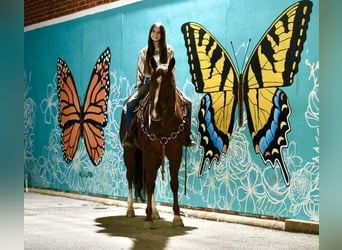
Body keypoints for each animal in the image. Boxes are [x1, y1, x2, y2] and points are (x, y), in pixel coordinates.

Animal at [119, 57, 186, 229]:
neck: (164, 123)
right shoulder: (149, 153)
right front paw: (148, 219)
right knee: (130, 177)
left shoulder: (176, 153)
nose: (155, 114)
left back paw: (156, 212)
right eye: (153, 83)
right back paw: (130, 210)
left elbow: (174, 183)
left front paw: (177, 217)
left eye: (169, 83)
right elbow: (149, 184)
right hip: (129, 152)